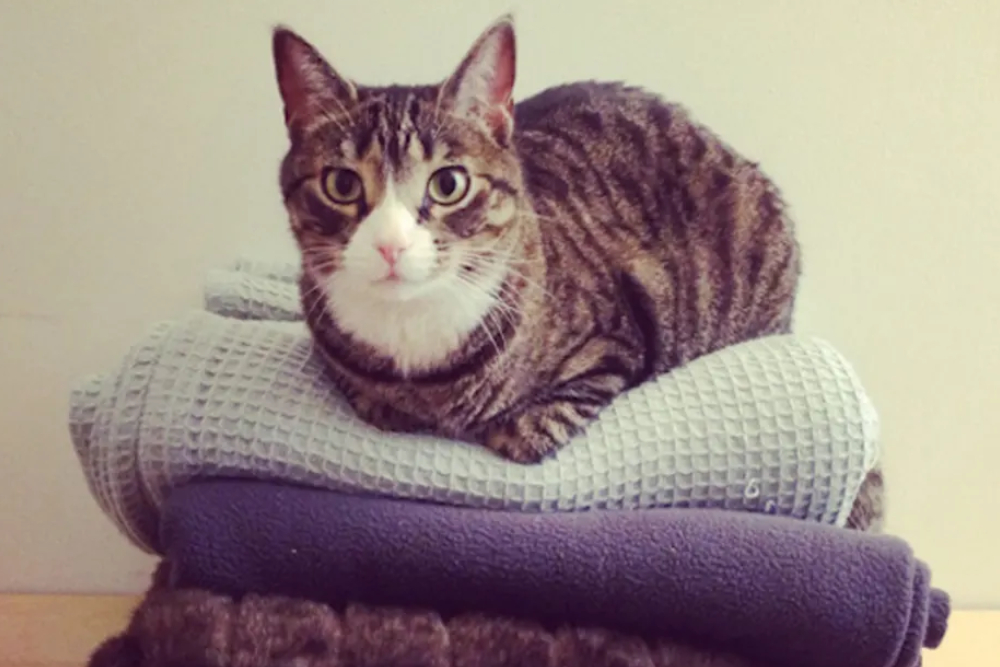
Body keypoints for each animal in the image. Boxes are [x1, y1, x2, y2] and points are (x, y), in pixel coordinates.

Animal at [270, 15, 800, 464]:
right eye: (342, 185)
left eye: (448, 184)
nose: (390, 246)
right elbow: (375, 404)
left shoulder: (613, 340)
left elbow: (529, 429)